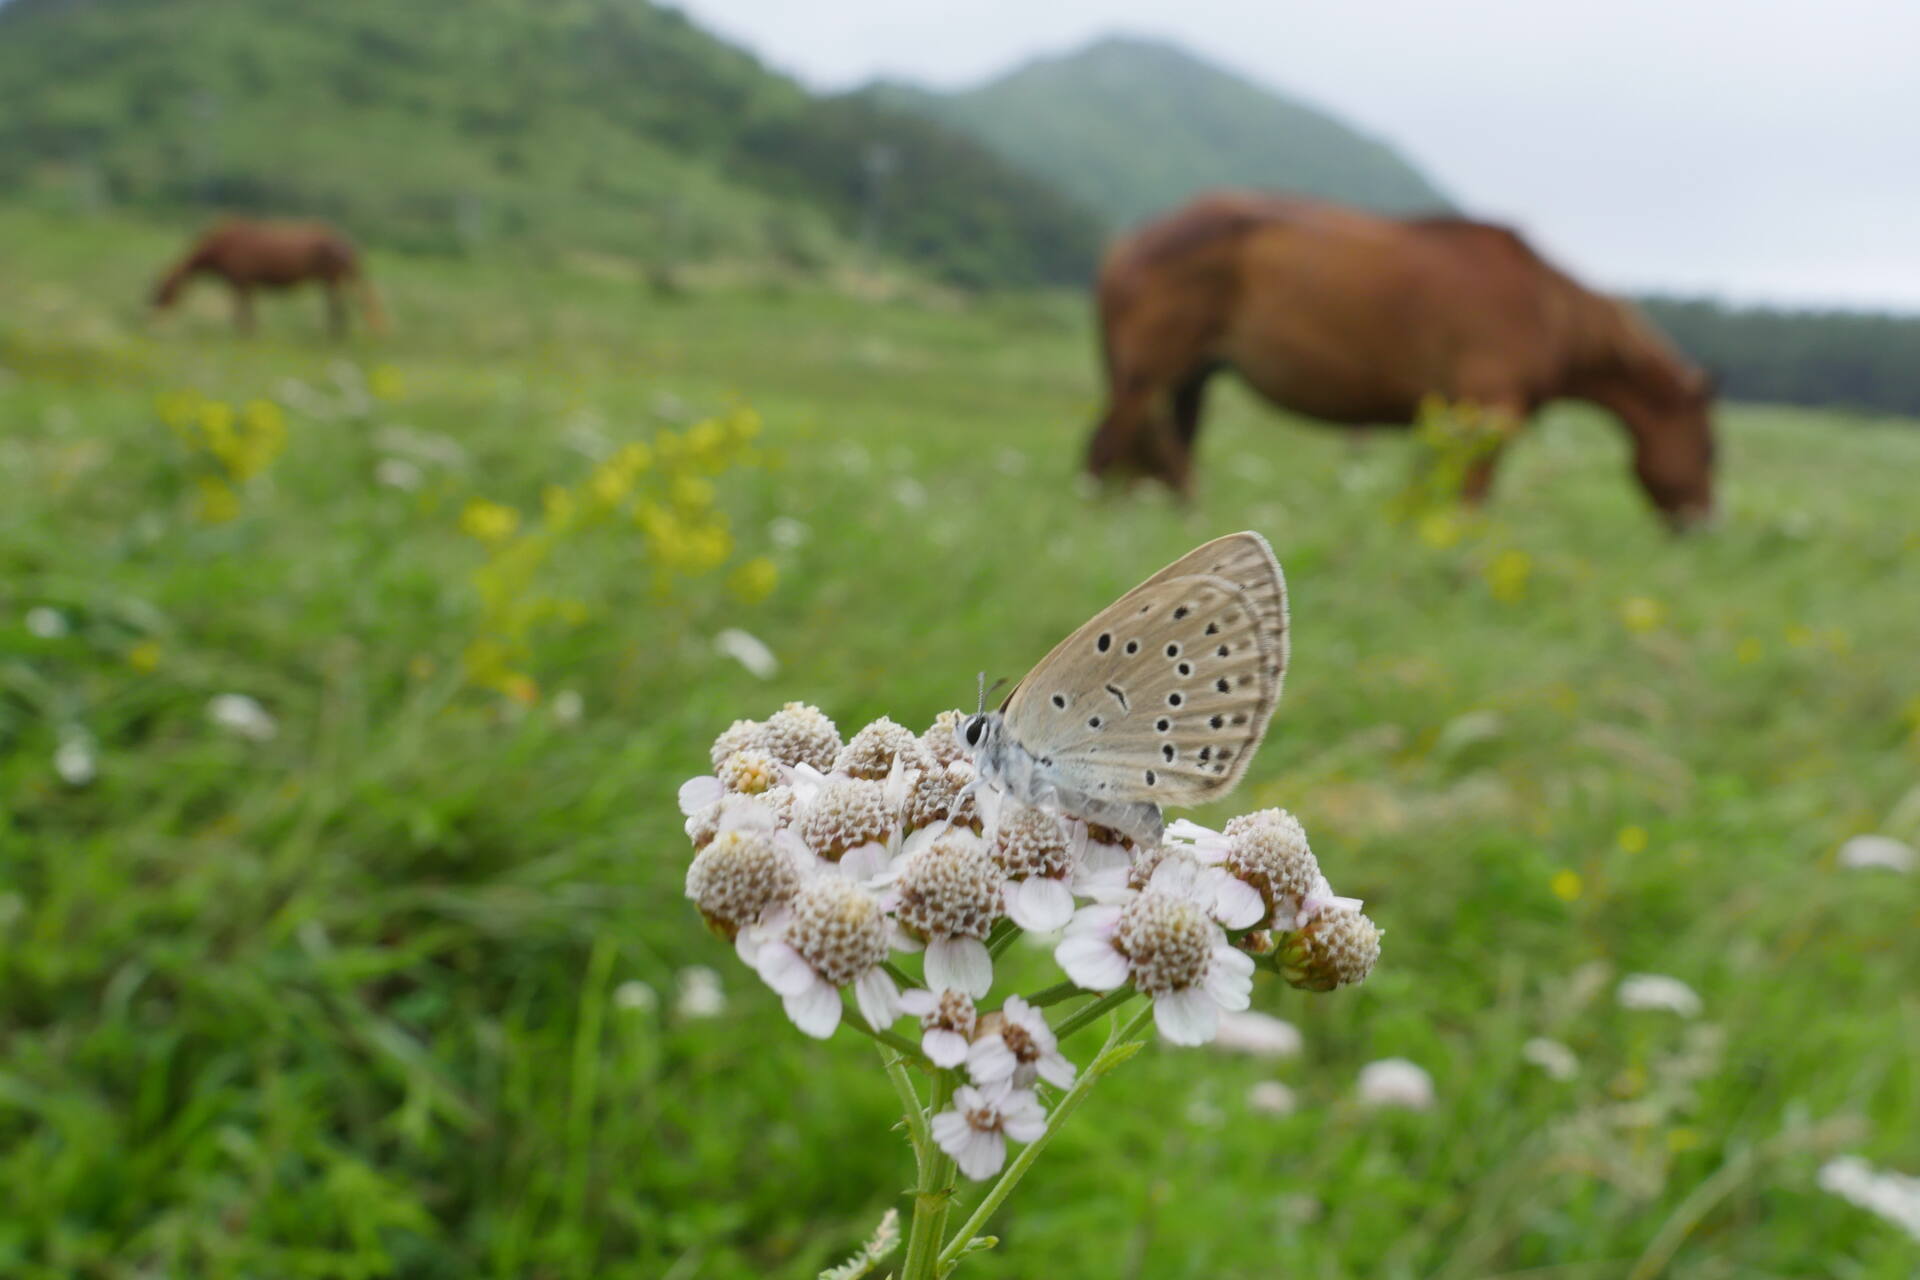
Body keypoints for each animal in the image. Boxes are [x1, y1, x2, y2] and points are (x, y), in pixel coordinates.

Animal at [152, 220, 389, 339]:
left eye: (161, 287)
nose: (149, 314)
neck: (219, 248)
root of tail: (348, 245)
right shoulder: (246, 286)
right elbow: (247, 316)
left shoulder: (241, 283)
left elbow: (242, 316)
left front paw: (244, 336)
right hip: (333, 281)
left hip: (331, 281)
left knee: (338, 312)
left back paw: (334, 337)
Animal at [1090, 191, 1720, 529]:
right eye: (1712, 451)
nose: (1706, 527)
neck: (1546, 309)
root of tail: (1131, 240)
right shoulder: (1488, 412)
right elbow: (1469, 500)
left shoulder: (1448, 418)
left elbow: (1427, 492)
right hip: (1147, 375)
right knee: (1109, 449)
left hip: (1191, 379)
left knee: (1173, 458)